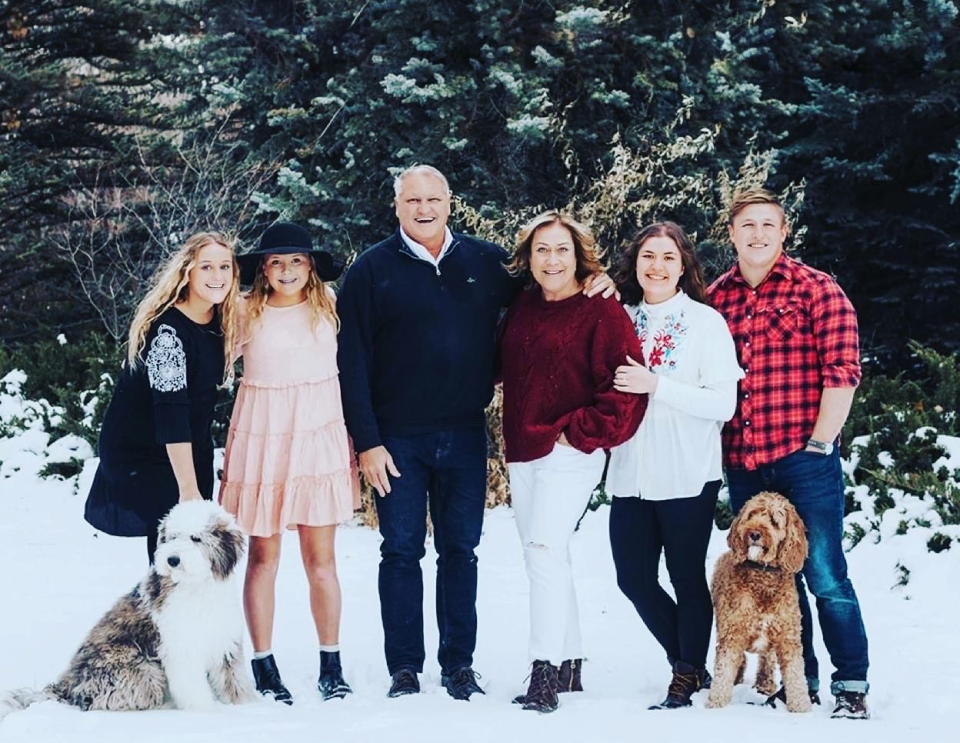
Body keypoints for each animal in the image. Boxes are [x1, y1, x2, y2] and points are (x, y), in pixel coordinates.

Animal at [0, 500, 255, 720]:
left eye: (196, 538)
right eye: (173, 537)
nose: (172, 560)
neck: (197, 585)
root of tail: (66, 685)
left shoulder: (224, 641)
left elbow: (233, 679)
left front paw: (245, 706)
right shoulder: (180, 647)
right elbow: (192, 687)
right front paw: (206, 714)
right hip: (140, 672)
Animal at [704, 492, 808, 712]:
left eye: (774, 521)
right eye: (751, 515)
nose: (753, 533)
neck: (762, 575)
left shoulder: (788, 638)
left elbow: (796, 676)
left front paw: (802, 708)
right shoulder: (732, 634)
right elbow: (723, 672)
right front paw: (716, 705)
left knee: (766, 658)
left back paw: (765, 684)